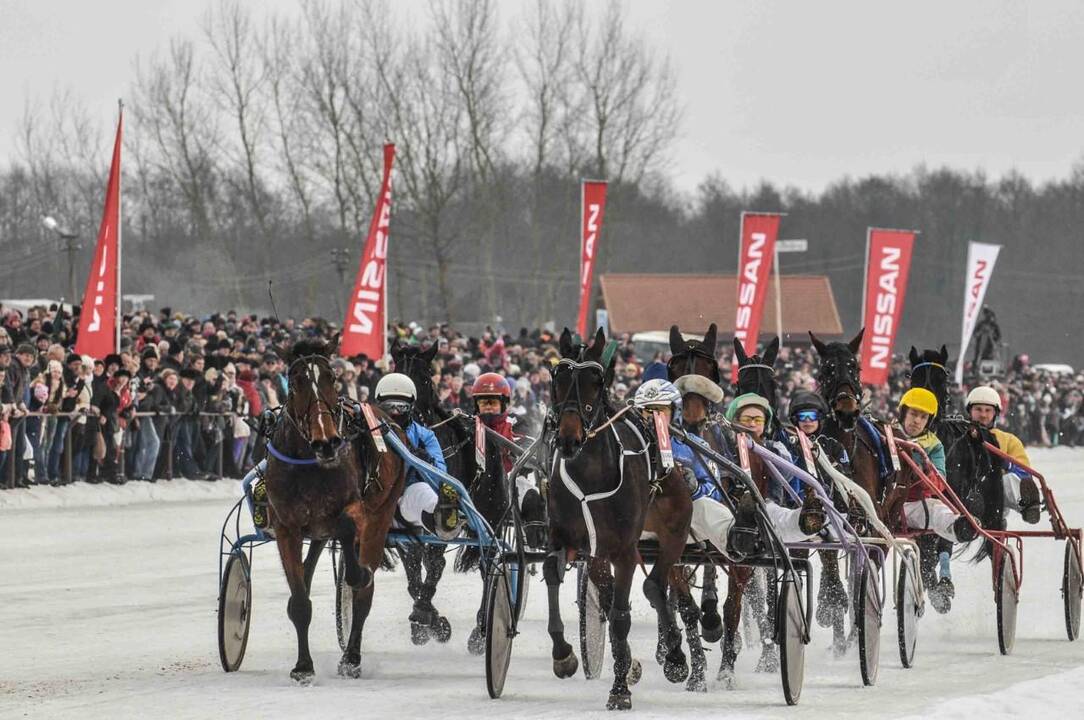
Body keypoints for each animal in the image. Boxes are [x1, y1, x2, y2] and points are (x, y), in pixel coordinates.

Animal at [262, 338, 407, 680]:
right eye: (296, 381)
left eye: (332, 377)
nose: (326, 442)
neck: (309, 464)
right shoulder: (286, 526)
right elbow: (300, 601)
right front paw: (303, 666)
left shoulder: (357, 508)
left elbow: (347, 531)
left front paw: (358, 573)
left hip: (383, 510)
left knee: (364, 593)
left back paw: (352, 657)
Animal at [546, 329, 689, 711]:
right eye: (557, 379)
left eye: (596, 383)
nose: (568, 439)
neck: (590, 475)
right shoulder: (564, 537)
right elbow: (552, 574)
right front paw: (563, 654)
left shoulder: (624, 550)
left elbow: (622, 616)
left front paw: (620, 688)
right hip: (598, 551)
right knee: (610, 595)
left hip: (675, 530)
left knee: (653, 585)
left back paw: (674, 655)